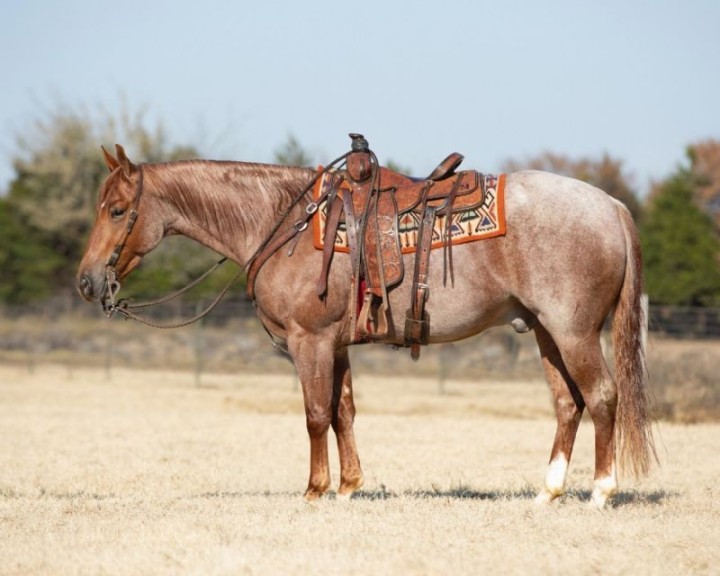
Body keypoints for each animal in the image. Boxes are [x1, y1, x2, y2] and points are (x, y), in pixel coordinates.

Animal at [76, 143, 656, 507]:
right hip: (544, 332)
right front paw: (350, 485)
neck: (284, 224)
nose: (86, 281)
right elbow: (343, 412)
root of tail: (609, 205)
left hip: (573, 332)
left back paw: (600, 492)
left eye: (117, 209)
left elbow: (315, 415)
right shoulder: (336, 345)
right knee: (567, 404)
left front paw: (315, 489)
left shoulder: (308, 342)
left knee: (602, 397)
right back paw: (548, 492)